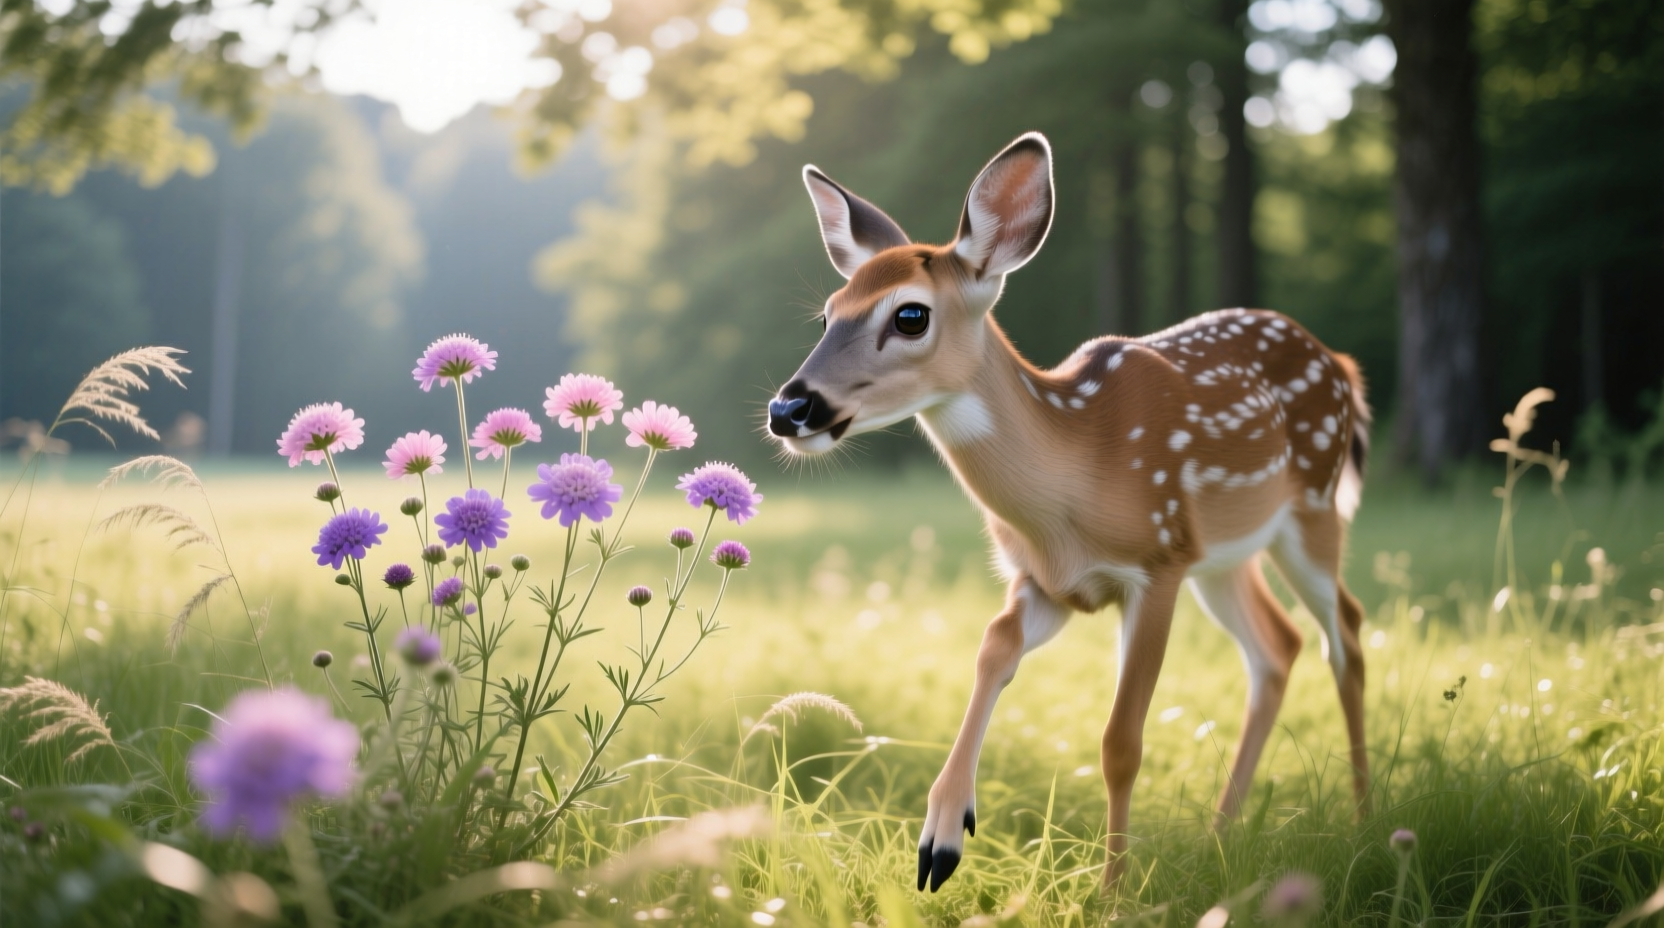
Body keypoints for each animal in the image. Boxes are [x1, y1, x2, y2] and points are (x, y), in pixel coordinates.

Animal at [765, 132, 1374, 893]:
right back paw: (1220, 838)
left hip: (1311, 508)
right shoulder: (1048, 583)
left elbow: (1121, 741)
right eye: (828, 313)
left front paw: (1111, 895)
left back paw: (1369, 823)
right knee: (1278, 646)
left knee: (1344, 632)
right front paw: (941, 838)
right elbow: (993, 645)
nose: (789, 408)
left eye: (910, 314)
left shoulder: (1157, 562)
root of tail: (1341, 363)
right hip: (1223, 558)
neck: (1071, 494)